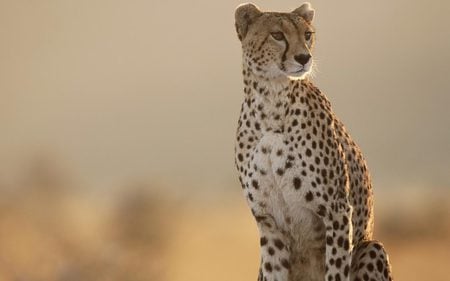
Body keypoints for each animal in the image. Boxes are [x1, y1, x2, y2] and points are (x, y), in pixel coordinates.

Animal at [234, 2, 392, 280]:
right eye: (277, 35)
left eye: (307, 35)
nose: (303, 58)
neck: (270, 103)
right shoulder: (268, 223)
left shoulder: (337, 210)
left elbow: (336, 269)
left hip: (372, 247)